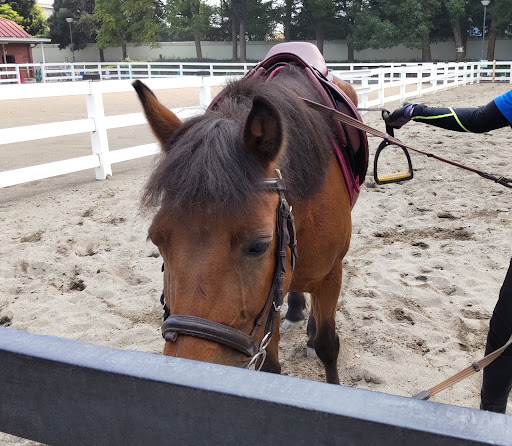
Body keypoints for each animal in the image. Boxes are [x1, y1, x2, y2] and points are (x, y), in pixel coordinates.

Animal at [134, 43, 367, 384]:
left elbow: (328, 346)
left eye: (259, 246)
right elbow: (270, 367)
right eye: (156, 240)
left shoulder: (331, 274)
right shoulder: (267, 304)